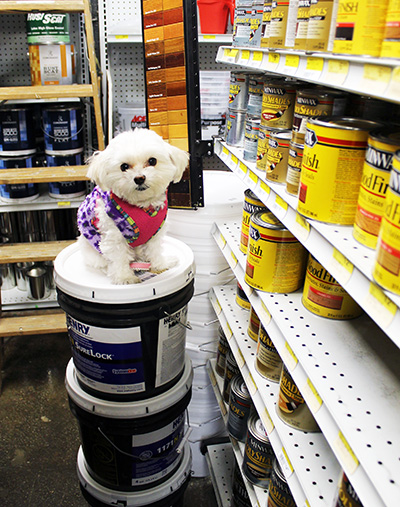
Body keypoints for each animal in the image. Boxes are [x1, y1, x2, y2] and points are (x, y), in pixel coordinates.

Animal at [78, 129, 191, 284]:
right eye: (124, 166)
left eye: (152, 161)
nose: (139, 178)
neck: (142, 206)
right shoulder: (114, 237)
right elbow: (119, 257)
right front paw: (124, 277)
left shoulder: (155, 232)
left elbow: (155, 249)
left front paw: (160, 265)